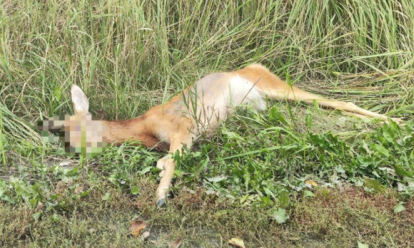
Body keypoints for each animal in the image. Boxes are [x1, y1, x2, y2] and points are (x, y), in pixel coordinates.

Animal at [47, 64, 402, 207]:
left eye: (77, 127)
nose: (72, 151)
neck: (145, 127)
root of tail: (254, 65)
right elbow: (166, 160)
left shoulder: (183, 127)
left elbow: (170, 162)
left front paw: (161, 197)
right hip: (266, 101)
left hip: (278, 86)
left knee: (341, 101)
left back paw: (394, 119)